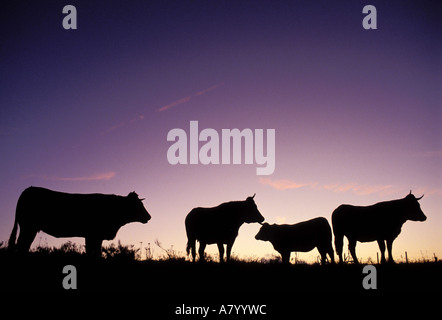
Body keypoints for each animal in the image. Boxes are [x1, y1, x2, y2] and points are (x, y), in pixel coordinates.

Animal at [7, 186, 150, 256]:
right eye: (138, 205)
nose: (149, 217)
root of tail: (28, 189)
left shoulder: (92, 236)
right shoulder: (94, 236)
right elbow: (94, 253)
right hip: (28, 227)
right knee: (21, 245)